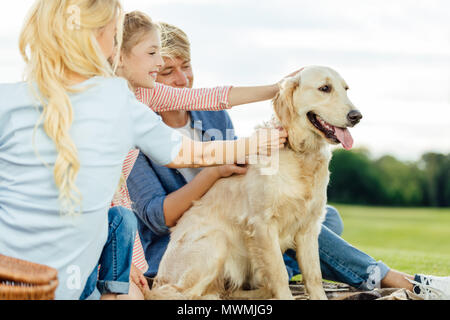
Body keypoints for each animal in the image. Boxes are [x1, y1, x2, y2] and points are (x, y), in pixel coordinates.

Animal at [148, 66, 362, 302]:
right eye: (325, 88)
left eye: (346, 89)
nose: (357, 116)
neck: (300, 152)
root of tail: (157, 279)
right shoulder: (262, 224)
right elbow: (279, 273)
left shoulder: (309, 226)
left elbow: (314, 275)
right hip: (216, 240)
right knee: (180, 293)